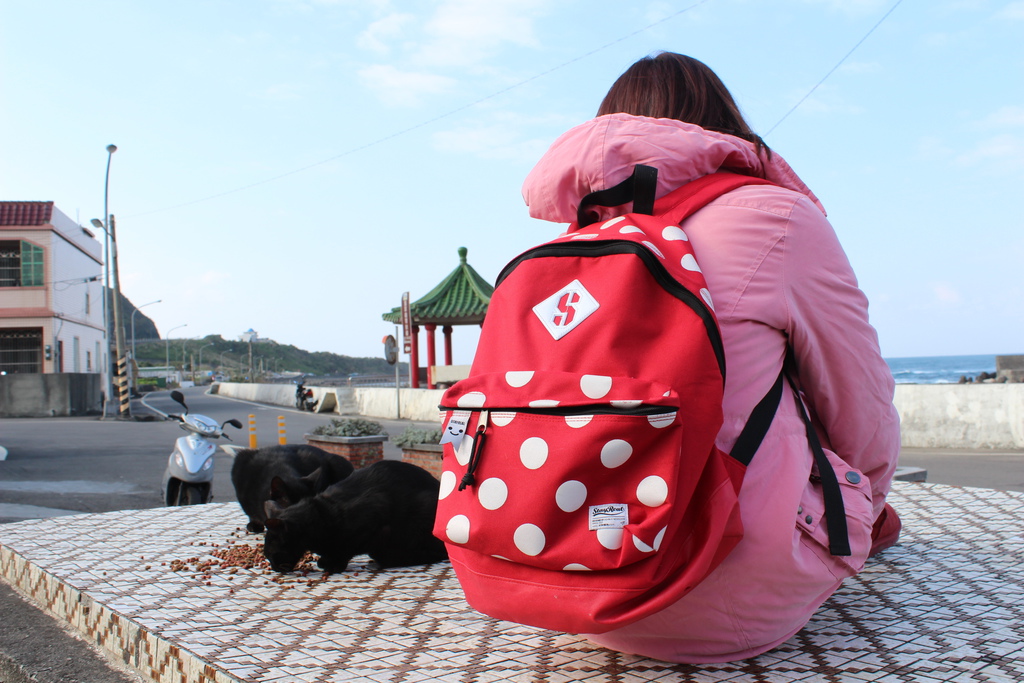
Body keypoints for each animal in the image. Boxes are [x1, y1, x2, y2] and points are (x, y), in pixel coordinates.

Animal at [262, 458, 446, 573]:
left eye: (271, 550)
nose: (274, 567)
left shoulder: (374, 518)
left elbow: (347, 547)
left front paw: (334, 564)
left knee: (437, 552)